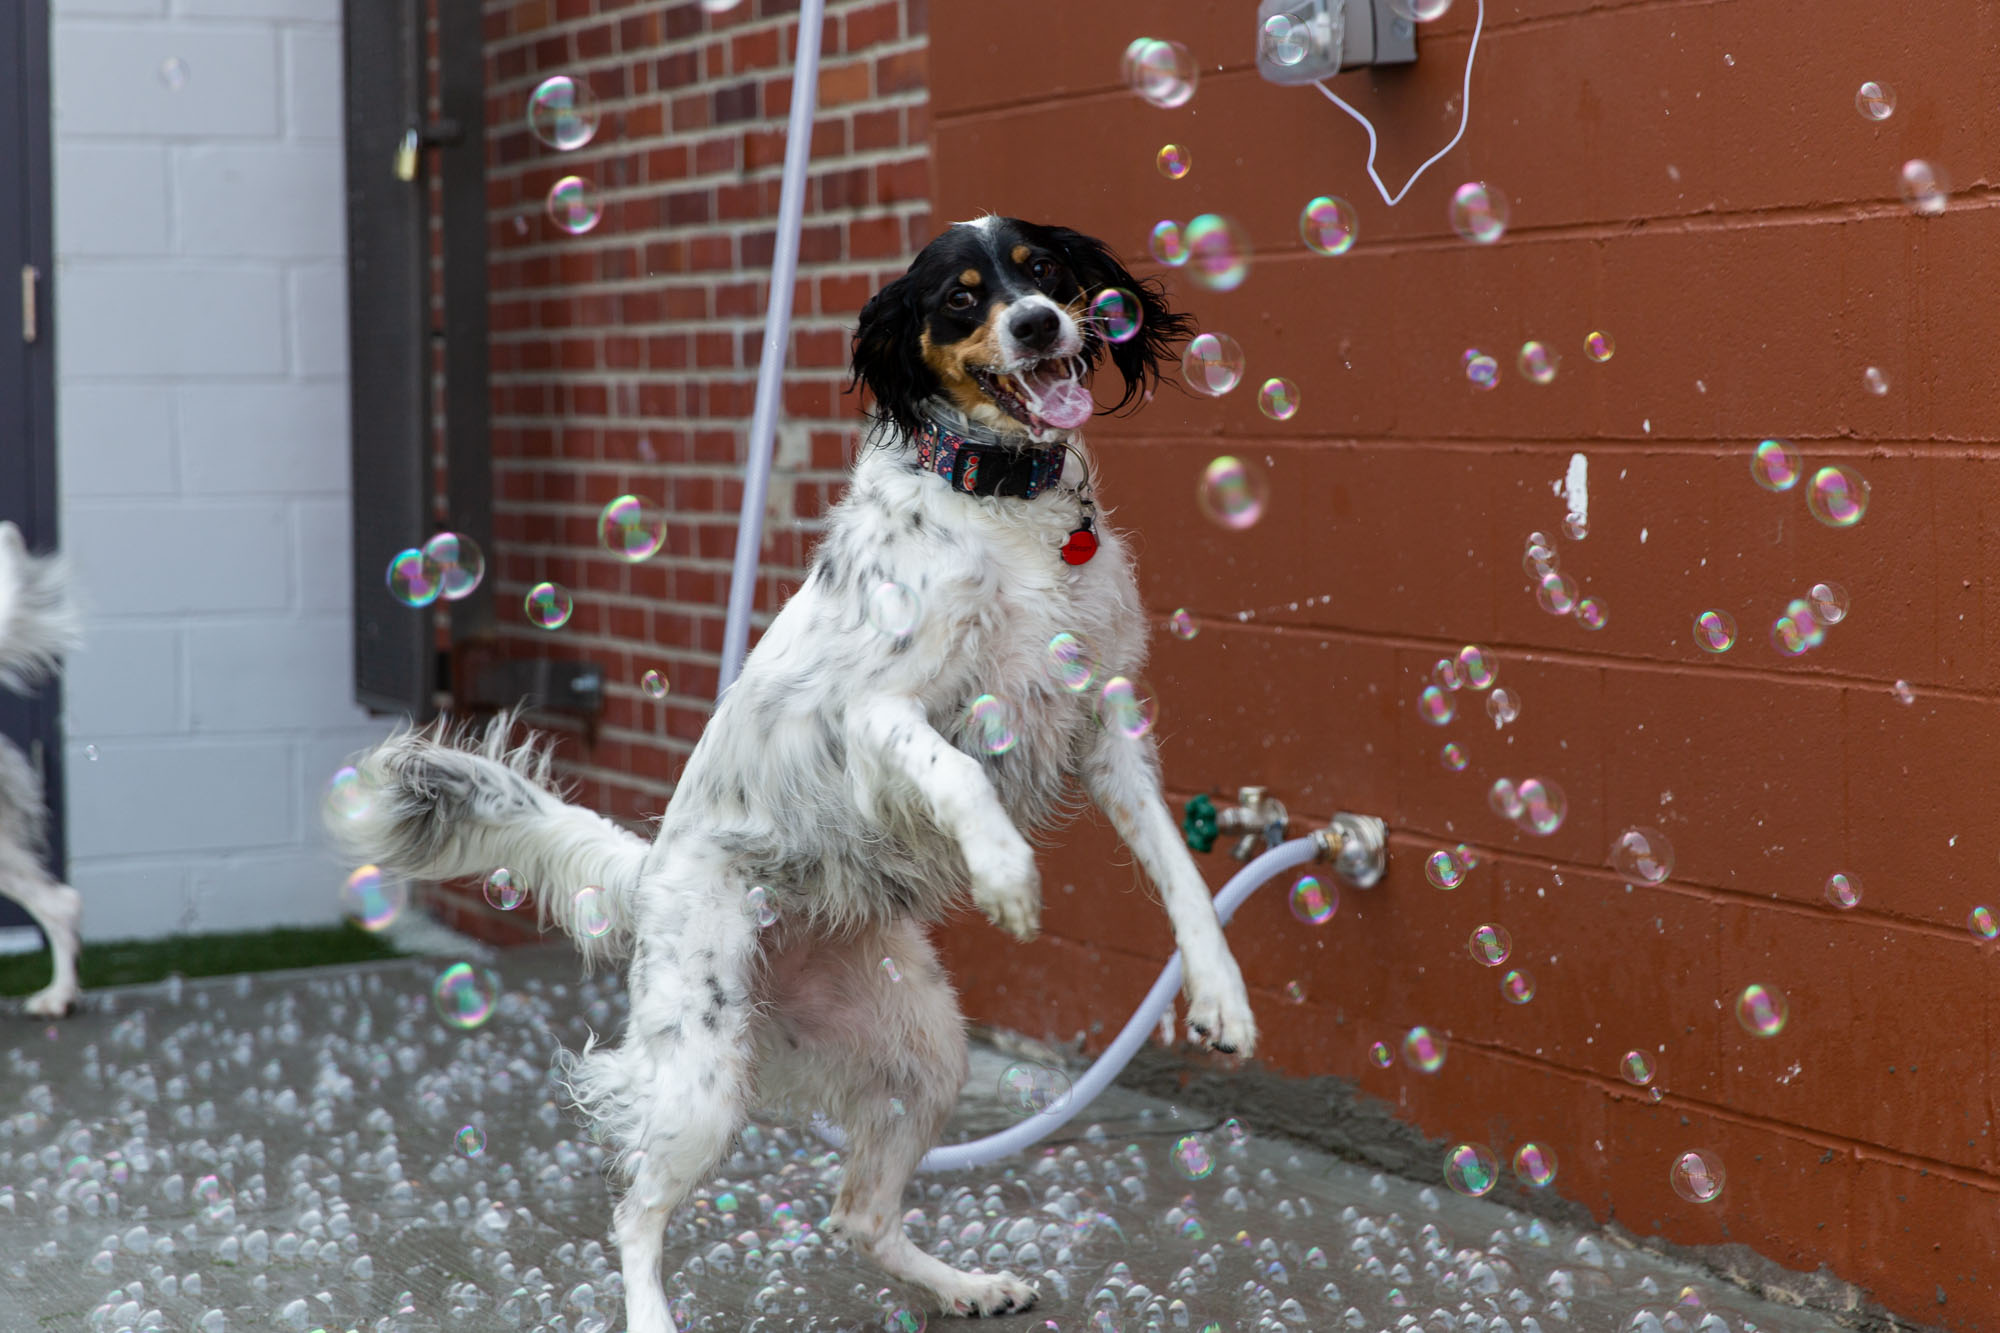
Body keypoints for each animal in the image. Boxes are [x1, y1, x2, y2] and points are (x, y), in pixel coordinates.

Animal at [336, 213, 1256, 1320]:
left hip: (923, 1049)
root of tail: (650, 874)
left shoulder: (1106, 725)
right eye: (960, 298)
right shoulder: (878, 711)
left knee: (857, 1214)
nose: (1038, 324)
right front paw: (1005, 873)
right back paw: (653, 1316)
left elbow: (1182, 874)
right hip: (702, 1076)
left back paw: (962, 1284)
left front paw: (1220, 995)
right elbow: (956, 771)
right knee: (634, 1213)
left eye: (1044, 271)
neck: (1002, 508)